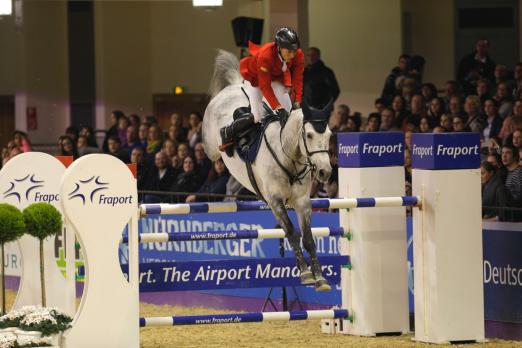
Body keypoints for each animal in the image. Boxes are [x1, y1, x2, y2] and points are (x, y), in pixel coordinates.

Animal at [201, 50, 332, 290]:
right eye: (309, 135)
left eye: (329, 135)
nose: (324, 172)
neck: (289, 156)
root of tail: (236, 84)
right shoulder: (275, 201)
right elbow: (292, 233)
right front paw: (305, 274)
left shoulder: (302, 202)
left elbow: (309, 239)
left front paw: (320, 278)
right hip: (211, 146)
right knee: (215, 148)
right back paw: (225, 135)